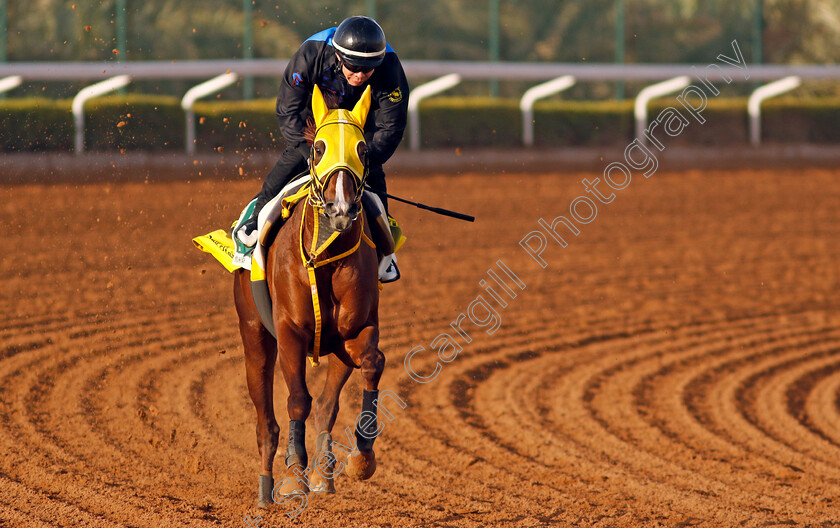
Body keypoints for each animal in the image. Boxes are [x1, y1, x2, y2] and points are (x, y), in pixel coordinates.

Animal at [233, 85, 384, 508]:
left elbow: (373, 363)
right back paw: (267, 488)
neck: (325, 255)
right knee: (265, 421)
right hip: (254, 336)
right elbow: (298, 399)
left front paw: (362, 458)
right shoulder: (289, 331)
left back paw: (324, 473)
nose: (341, 209)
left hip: (335, 348)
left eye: (363, 149)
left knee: (329, 405)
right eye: (318, 148)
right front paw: (293, 476)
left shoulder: (356, 330)